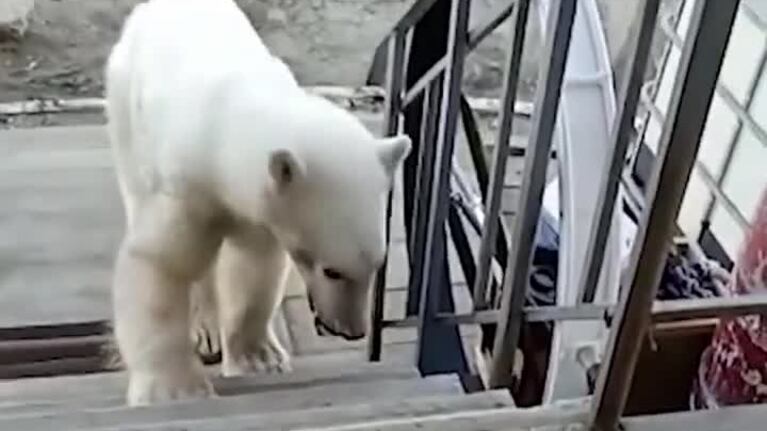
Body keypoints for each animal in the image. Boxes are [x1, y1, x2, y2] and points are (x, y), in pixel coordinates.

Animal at [105, 0, 410, 406]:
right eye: (331, 270)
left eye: (378, 263)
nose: (351, 330)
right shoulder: (190, 185)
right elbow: (160, 262)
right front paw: (173, 389)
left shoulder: (259, 208)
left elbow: (255, 265)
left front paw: (260, 359)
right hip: (126, 111)